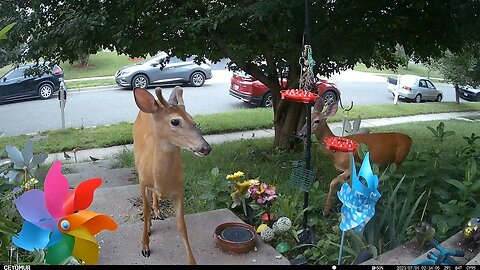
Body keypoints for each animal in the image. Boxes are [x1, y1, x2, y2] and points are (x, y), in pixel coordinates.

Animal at [133, 86, 212, 264]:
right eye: (175, 121)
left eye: (192, 119)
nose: (206, 148)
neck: (162, 180)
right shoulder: (143, 182)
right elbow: (145, 212)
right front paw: (145, 246)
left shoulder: (179, 189)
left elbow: (182, 226)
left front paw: (192, 261)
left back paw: (158, 211)